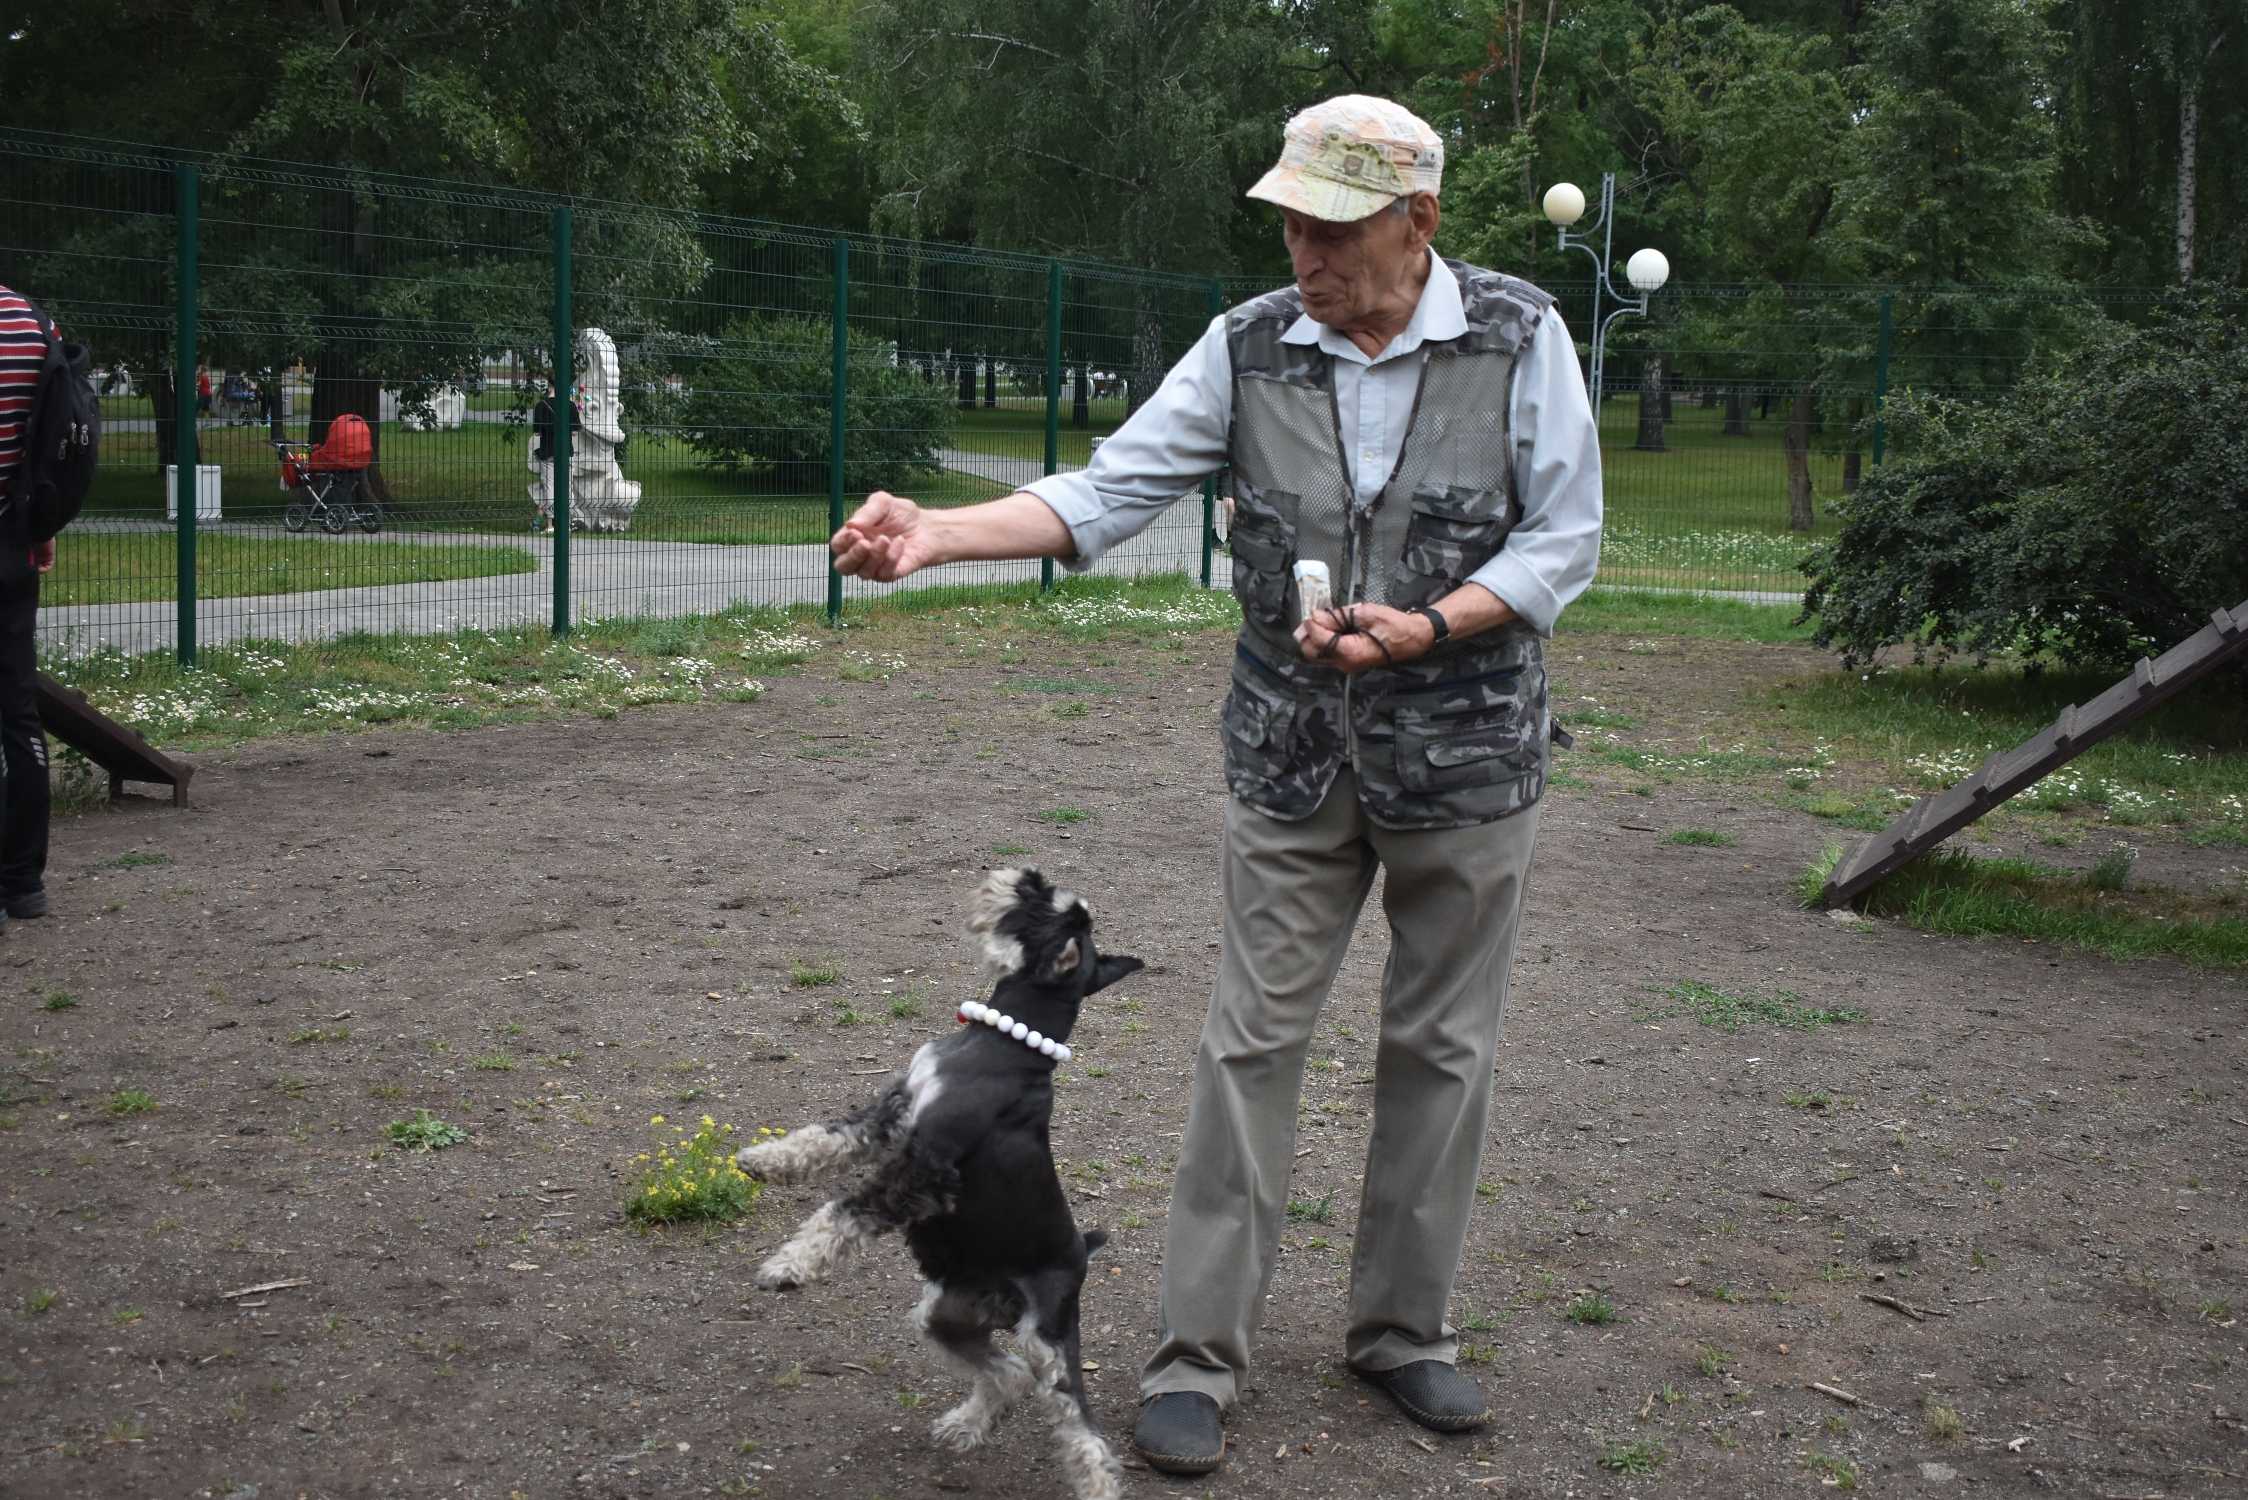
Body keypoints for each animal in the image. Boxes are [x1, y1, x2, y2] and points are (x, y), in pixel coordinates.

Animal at [737, 868, 1141, 1500]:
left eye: (1047, 907)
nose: (1021, 875)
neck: (1003, 1044)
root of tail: (1081, 1254)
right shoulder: (889, 1114)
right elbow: (820, 1139)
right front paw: (762, 1159)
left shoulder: (924, 1170)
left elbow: (842, 1213)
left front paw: (788, 1266)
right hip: (944, 1317)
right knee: (1007, 1375)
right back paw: (965, 1425)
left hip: (1047, 1337)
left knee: (1079, 1422)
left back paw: (1095, 1484)